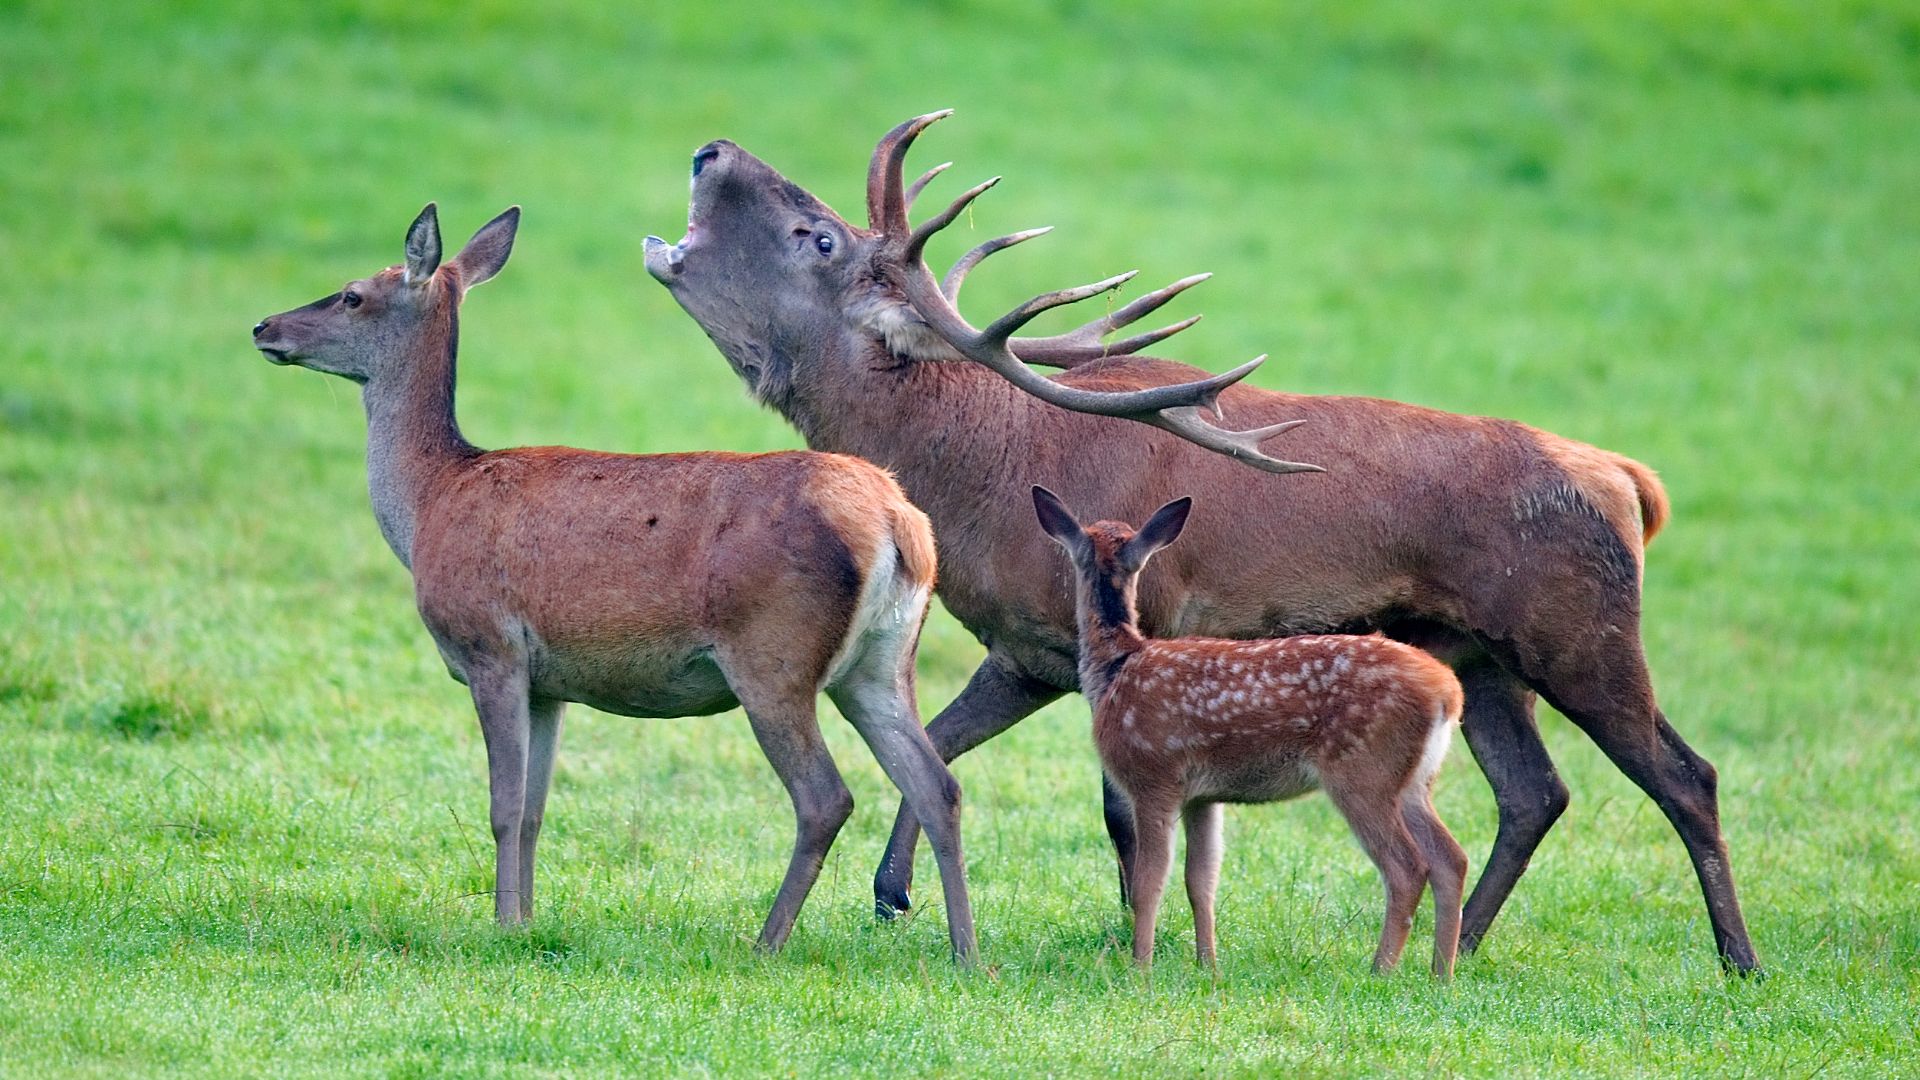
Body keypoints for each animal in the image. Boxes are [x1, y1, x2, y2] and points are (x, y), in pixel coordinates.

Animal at [250, 203, 975, 961]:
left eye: (352, 294)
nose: (264, 327)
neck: (430, 503)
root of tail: (899, 522)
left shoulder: (490, 647)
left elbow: (502, 805)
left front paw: (502, 925)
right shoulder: (549, 682)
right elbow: (535, 810)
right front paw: (526, 920)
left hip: (773, 655)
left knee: (826, 797)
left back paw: (766, 942)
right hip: (882, 660)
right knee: (938, 786)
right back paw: (966, 955)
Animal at [1033, 487, 1467, 975]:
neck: (1117, 668)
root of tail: (1447, 692)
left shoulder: (1153, 776)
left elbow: (1149, 881)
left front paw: (1140, 966)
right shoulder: (1202, 796)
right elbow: (1201, 878)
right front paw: (1208, 965)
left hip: (1363, 770)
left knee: (1407, 866)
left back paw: (1381, 970)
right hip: (1413, 779)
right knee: (1451, 858)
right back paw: (1441, 974)